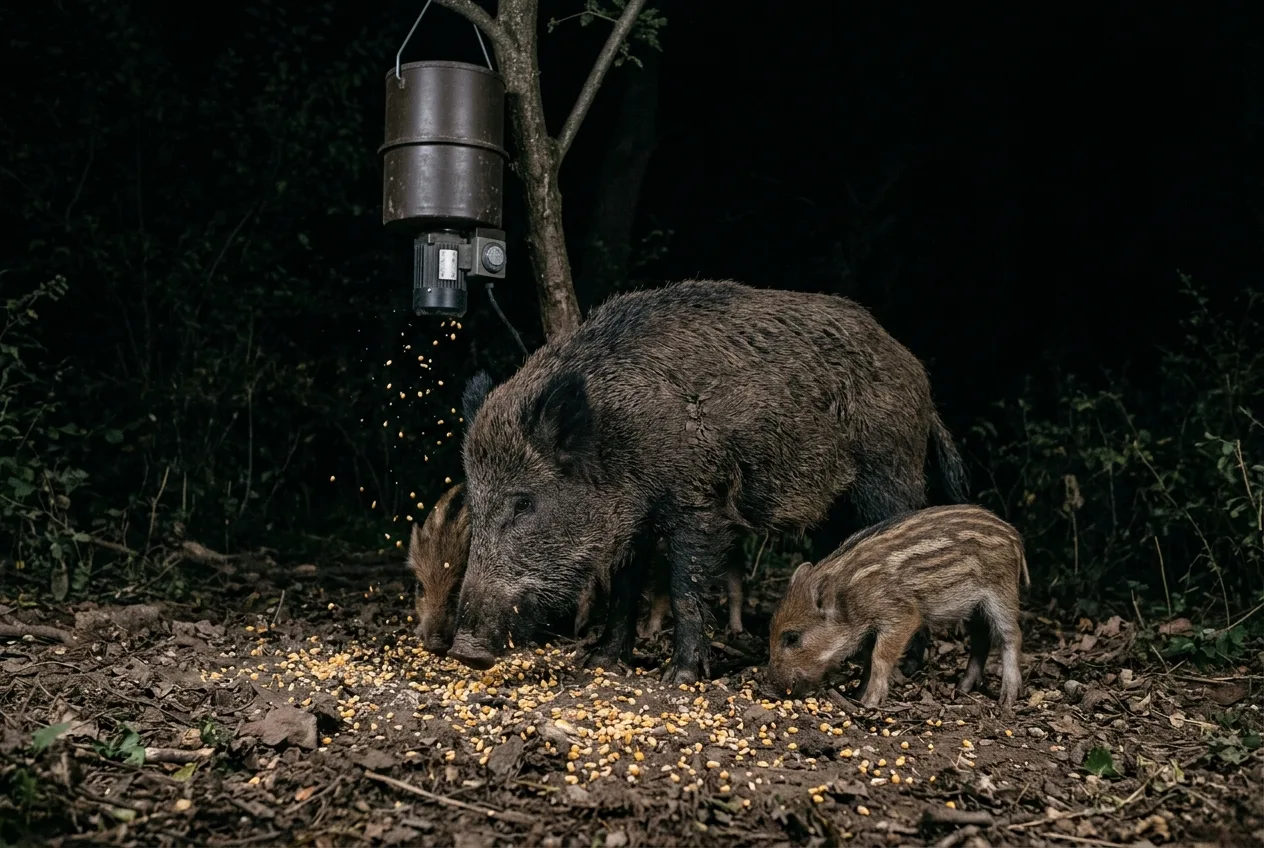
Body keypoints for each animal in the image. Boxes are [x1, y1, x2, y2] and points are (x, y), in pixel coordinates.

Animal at [450, 279, 968, 684]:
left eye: (524, 502)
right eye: (476, 502)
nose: (463, 650)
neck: (621, 437)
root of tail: (917, 376)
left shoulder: (699, 503)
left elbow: (686, 587)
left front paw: (678, 677)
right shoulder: (633, 523)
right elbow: (624, 590)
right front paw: (599, 664)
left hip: (889, 473)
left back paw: (906, 669)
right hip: (833, 506)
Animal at [766, 504, 1029, 710]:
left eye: (792, 637)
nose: (773, 687)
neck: (849, 597)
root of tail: (1014, 535)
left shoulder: (900, 615)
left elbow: (879, 657)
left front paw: (869, 703)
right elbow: (868, 660)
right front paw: (857, 695)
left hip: (1000, 591)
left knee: (1011, 635)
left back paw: (1007, 699)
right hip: (974, 607)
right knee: (981, 639)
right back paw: (962, 689)